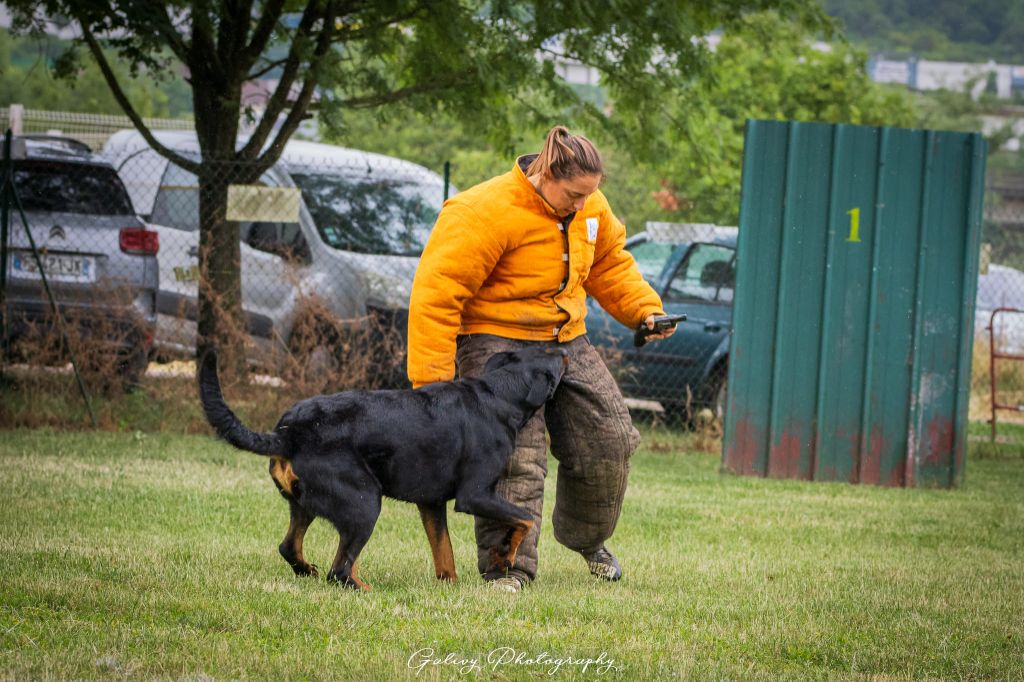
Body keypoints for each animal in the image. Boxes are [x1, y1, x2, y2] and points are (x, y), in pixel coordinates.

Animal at [199, 348, 569, 585]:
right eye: (557, 361)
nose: (565, 349)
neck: (498, 393)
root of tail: (287, 433)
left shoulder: (431, 502)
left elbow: (444, 553)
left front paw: (450, 585)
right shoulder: (475, 495)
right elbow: (523, 517)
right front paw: (505, 554)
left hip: (306, 505)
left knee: (291, 548)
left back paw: (309, 571)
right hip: (364, 503)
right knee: (339, 571)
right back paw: (363, 589)